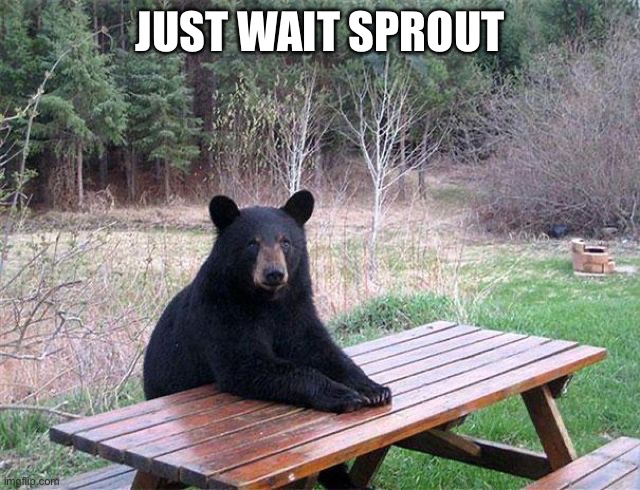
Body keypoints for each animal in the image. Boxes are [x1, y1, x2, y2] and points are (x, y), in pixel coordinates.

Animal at [143, 190, 391, 488]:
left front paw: (373, 388)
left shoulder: (295, 309)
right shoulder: (221, 313)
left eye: (285, 241)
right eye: (252, 243)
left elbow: (320, 349)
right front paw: (342, 393)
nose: (274, 273)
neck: (266, 302)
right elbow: (247, 364)